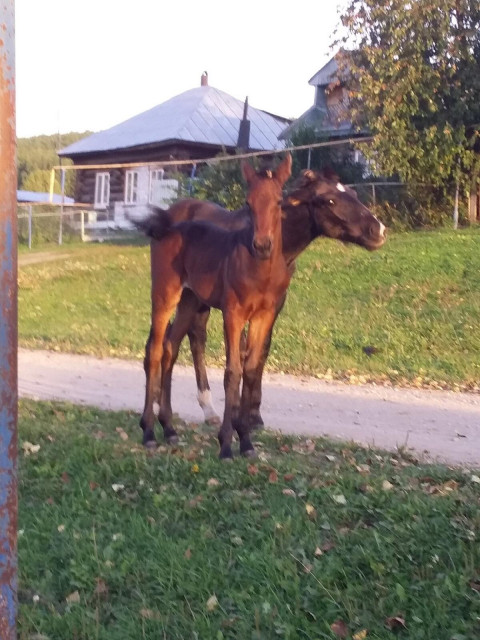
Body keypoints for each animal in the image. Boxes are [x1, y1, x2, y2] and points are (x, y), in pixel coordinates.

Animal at [137, 153, 290, 458]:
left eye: (279, 201)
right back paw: (148, 431)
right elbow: (233, 372)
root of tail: (167, 227)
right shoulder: (233, 313)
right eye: (248, 203)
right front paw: (227, 444)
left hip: (189, 301)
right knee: (155, 351)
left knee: (170, 348)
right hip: (164, 295)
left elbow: (251, 369)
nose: (262, 245)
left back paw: (169, 428)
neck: (260, 270)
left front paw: (246, 439)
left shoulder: (263, 316)